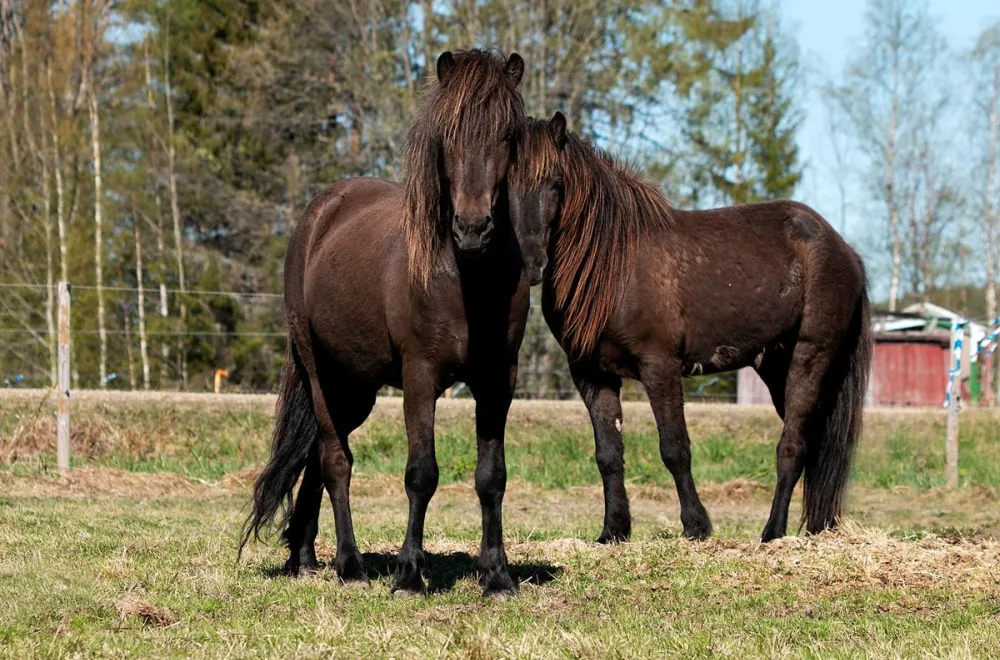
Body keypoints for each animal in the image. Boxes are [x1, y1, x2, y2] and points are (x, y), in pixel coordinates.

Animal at [242, 51, 540, 600]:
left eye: (507, 135)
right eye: (446, 136)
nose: (472, 228)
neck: (464, 278)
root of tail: (320, 213)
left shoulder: (498, 381)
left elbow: (492, 476)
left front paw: (496, 576)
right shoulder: (420, 378)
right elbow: (421, 474)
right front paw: (408, 575)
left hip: (355, 387)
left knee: (318, 454)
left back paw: (305, 558)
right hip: (318, 371)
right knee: (335, 461)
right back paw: (351, 565)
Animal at [512, 113, 872, 544]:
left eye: (555, 182)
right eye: (507, 184)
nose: (532, 263)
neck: (614, 263)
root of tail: (843, 249)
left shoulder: (660, 366)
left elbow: (674, 448)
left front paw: (696, 526)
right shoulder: (591, 374)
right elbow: (608, 454)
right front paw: (613, 530)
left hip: (810, 356)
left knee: (793, 446)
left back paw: (772, 533)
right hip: (775, 366)